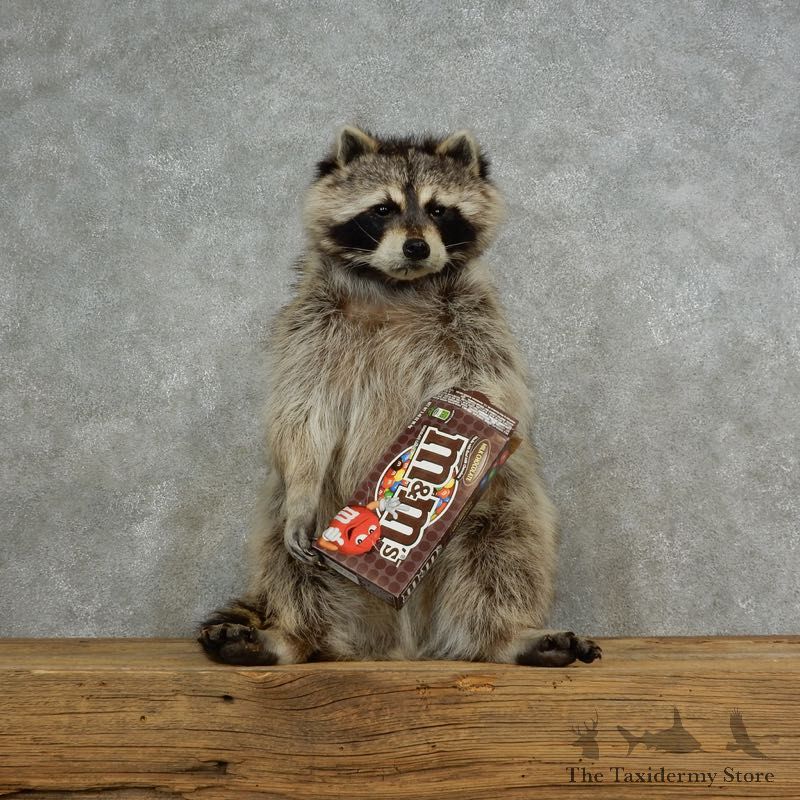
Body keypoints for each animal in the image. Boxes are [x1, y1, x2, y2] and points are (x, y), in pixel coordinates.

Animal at [198, 126, 601, 668]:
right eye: (383, 209)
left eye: (438, 210)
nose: (415, 247)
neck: (396, 287)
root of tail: (402, 643)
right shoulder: (309, 323)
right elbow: (302, 410)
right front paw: (302, 481)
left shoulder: (478, 320)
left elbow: (497, 393)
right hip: (305, 523)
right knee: (285, 557)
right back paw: (292, 636)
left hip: (504, 508)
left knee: (507, 545)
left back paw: (505, 636)